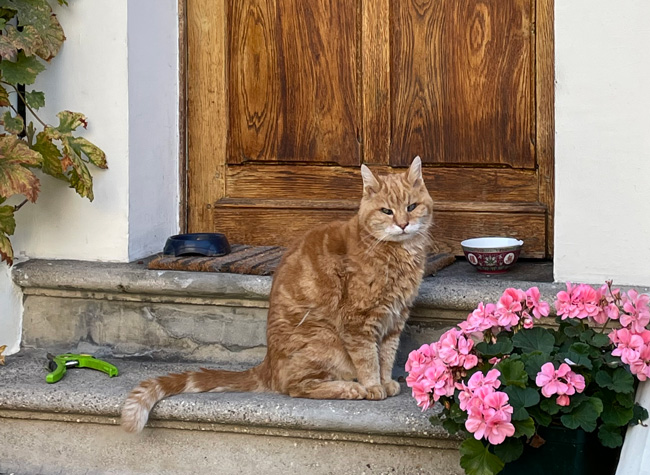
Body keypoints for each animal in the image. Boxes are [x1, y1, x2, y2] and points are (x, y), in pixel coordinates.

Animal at [121, 158, 436, 434]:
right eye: (386, 211)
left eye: (411, 207)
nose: (403, 224)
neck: (395, 253)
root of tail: (268, 365)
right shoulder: (359, 323)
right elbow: (369, 359)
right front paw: (373, 387)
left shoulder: (394, 320)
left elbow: (386, 356)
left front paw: (386, 382)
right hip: (325, 340)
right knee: (297, 388)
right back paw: (352, 388)